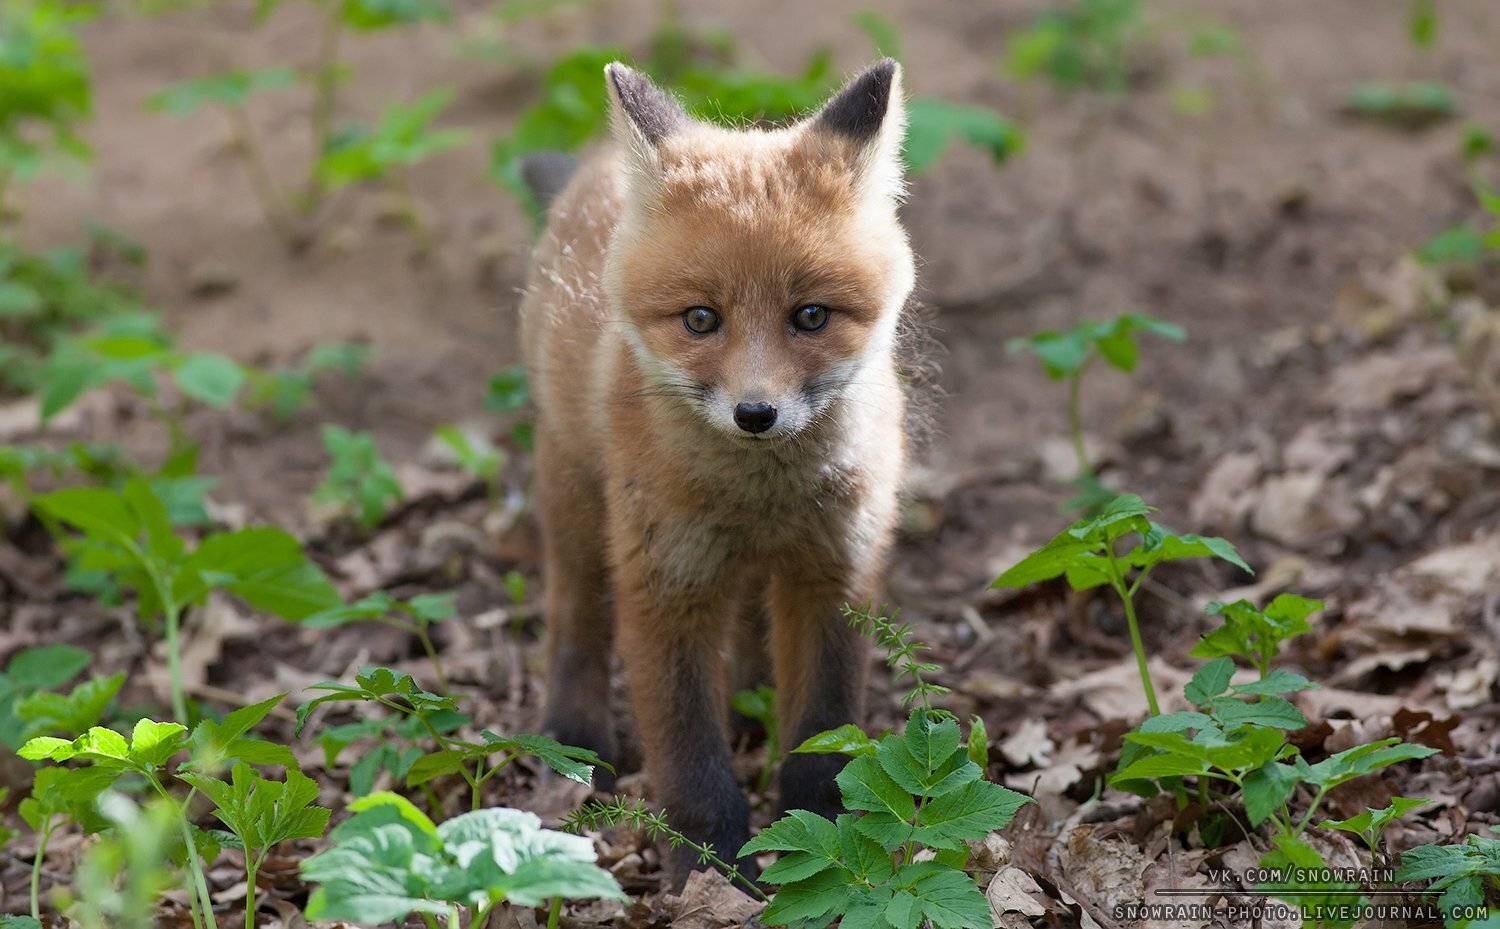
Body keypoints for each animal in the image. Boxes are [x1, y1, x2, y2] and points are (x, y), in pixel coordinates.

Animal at [517, 58, 916, 881]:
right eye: (701, 319)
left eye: (811, 315)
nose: (755, 413)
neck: (760, 500)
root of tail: (593, 169)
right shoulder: (666, 583)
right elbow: (689, 756)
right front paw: (712, 870)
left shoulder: (835, 571)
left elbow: (822, 734)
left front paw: (824, 841)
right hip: (576, 502)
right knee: (574, 617)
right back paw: (573, 737)